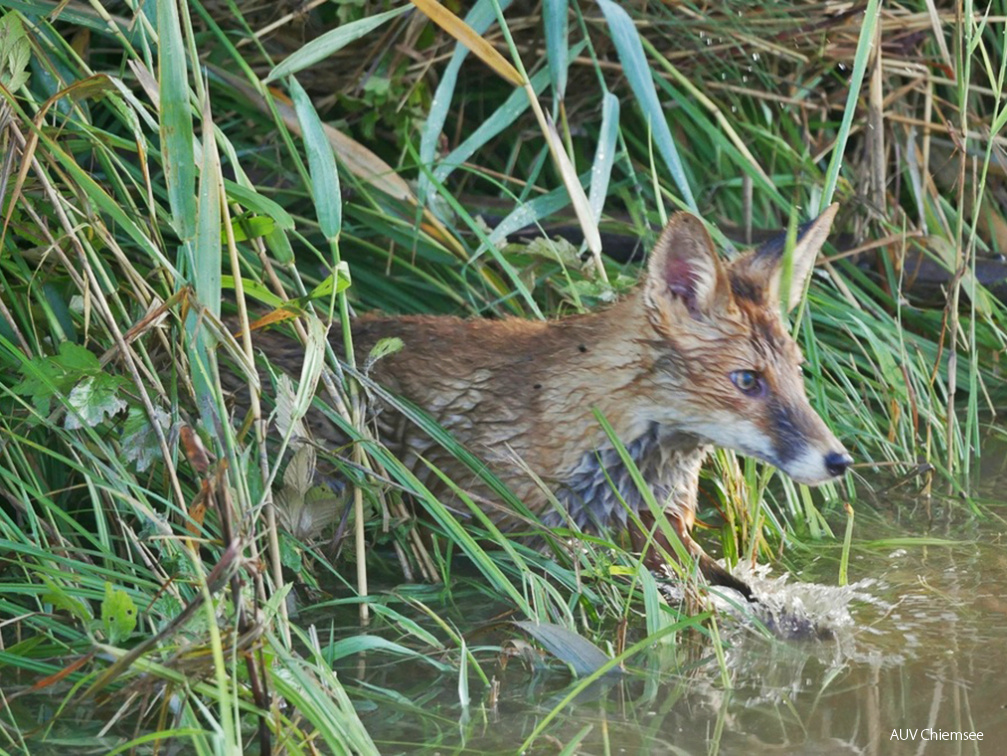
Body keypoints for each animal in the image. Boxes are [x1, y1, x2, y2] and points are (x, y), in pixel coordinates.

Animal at [245, 204, 849, 599]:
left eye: (797, 373)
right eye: (747, 380)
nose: (839, 460)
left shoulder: (664, 532)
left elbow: (742, 594)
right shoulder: (516, 536)